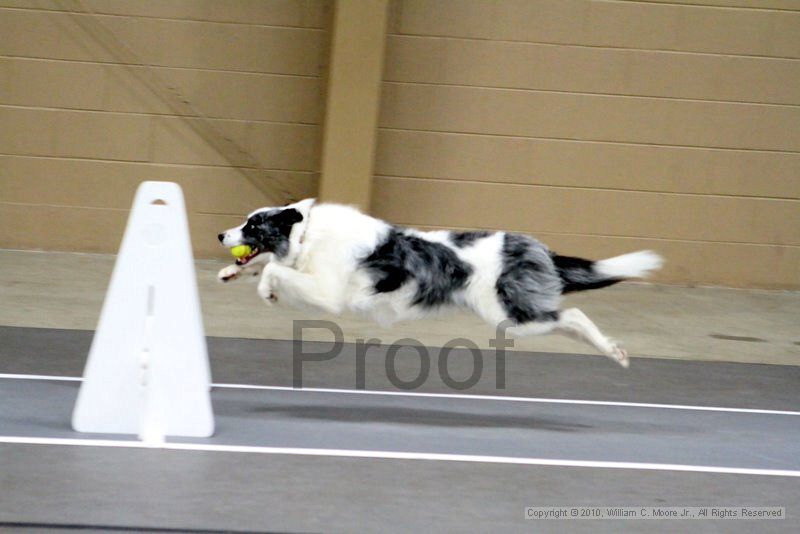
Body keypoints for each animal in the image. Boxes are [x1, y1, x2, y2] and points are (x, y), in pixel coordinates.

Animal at [219, 199, 664, 370]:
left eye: (253, 225)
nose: (221, 235)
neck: (307, 233)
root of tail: (542, 249)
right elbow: (266, 265)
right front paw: (230, 273)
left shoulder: (327, 295)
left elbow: (276, 271)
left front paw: (266, 291)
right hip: (521, 316)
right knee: (570, 321)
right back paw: (613, 352)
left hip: (512, 314)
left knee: (574, 314)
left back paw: (615, 351)